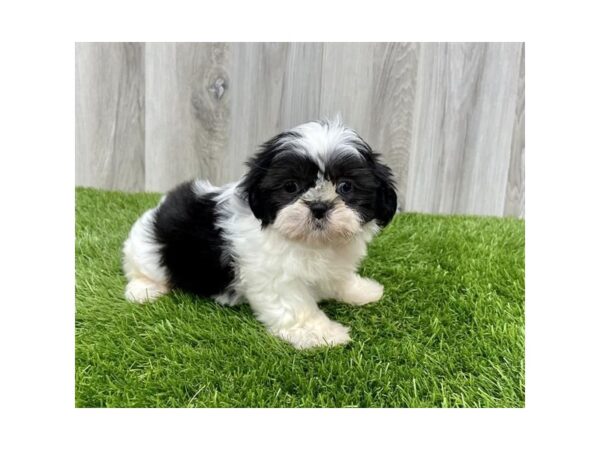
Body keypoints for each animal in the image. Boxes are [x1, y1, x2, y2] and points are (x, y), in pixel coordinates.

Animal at [120, 118, 398, 350]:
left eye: (345, 186)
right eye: (291, 187)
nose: (319, 206)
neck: (312, 243)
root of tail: (157, 211)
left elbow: (340, 279)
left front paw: (361, 290)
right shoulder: (277, 278)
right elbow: (297, 307)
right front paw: (322, 334)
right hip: (151, 253)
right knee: (141, 269)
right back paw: (143, 290)